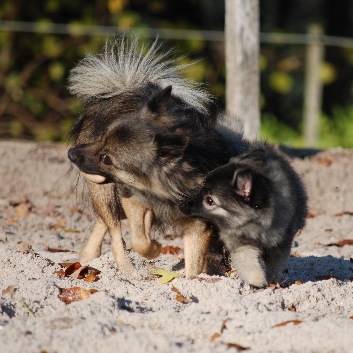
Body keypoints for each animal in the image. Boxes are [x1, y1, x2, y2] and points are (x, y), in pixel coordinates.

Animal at [67, 37, 230, 276]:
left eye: (107, 158)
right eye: (101, 138)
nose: (71, 153)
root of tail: (126, 88)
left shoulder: (199, 225)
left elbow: (193, 268)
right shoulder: (132, 198)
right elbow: (138, 241)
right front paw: (154, 249)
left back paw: (89, 256)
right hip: (104, 193)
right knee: (114, 231)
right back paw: (126, 270)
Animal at [180, 138, 306, 286]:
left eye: (209, 201)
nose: (181, 204)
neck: (256, 224)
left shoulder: (280, 246)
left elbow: (274, 267)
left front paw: (270, 281)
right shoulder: (242, 245)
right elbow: (250, 264)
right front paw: (257, 281)